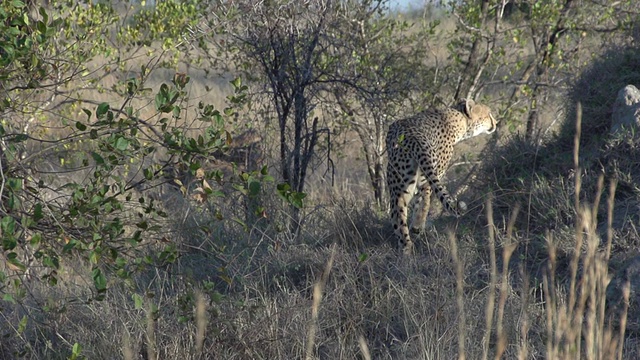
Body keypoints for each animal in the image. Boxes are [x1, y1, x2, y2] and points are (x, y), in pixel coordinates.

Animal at [384, 100, 496, 255]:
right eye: (488, 114)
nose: (495, 122)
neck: (460, 118)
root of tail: (413, 137)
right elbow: (425, 200)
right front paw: (417, 226)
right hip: (424, 174)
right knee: (425, 199)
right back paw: (417, 227)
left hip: (399, 185)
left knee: (399, 215)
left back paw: (406, 249)